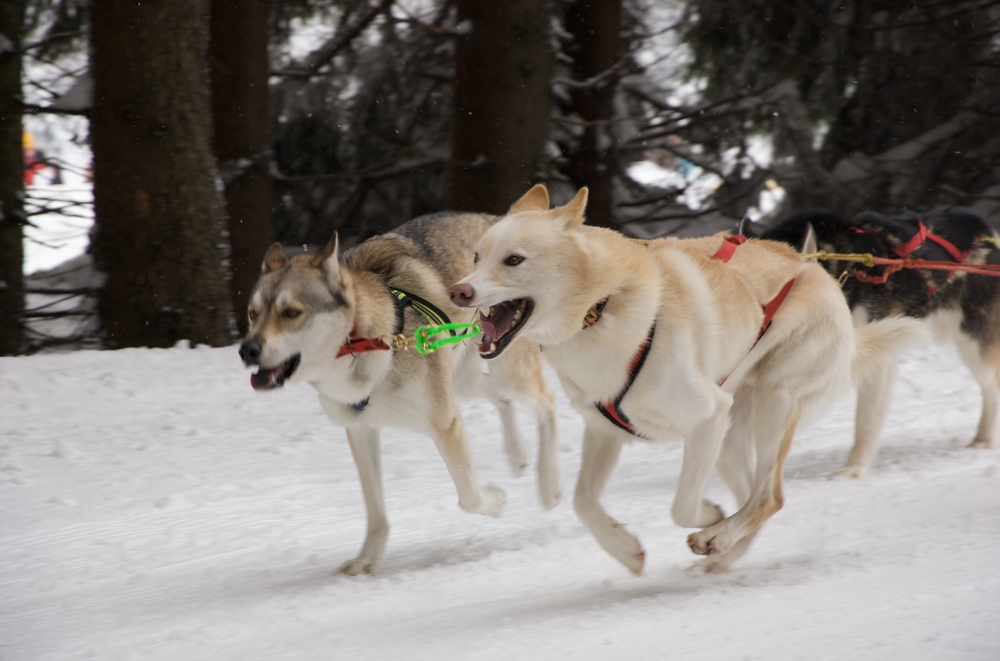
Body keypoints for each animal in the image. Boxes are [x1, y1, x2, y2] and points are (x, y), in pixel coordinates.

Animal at [237, 210, 560, 572]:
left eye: (291, 312)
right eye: (252, 314)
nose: (247, 350)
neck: (364, 343)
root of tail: (504, 218)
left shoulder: (445, 424)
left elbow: (469, 496)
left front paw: (496, 501)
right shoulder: (361, 431)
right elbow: (375, 510)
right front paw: (367, 559)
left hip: (506, 371)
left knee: (547, 403)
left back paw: (549, 486)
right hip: (461, 382)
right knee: (499, 397)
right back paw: (517, 456)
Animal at [450, 184, 924, 572]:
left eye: (514, 260)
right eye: (476, 257)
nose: (459, 290)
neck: (601, 308)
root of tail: (817, 270)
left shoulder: (707, 417)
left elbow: (681, 506)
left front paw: (709, 517)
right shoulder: (604, 431)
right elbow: (583, 502)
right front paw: (626, 550)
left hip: (770, 403)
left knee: (769, 496)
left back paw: (717, 537)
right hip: (732, 437)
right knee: (754, 495)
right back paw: (726, 553)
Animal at [756, 206, 1000, 474]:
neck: (847, 274)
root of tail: (986, 231)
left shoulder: (875, 358)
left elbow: (866, 419)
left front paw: (854, 469)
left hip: (973, 345)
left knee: (992, 389)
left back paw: (983, 439)